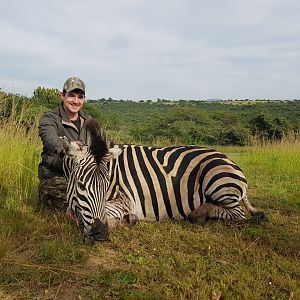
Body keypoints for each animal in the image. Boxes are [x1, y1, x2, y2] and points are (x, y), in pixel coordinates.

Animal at [61, 118, 268, 243]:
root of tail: (230, 161)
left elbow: (95, 215)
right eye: (81, 185)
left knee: (238, 215)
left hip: (217, 180)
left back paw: (199, 215)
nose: (101, 235)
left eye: (106, 186)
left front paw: (125, 220)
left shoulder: (126, 200)